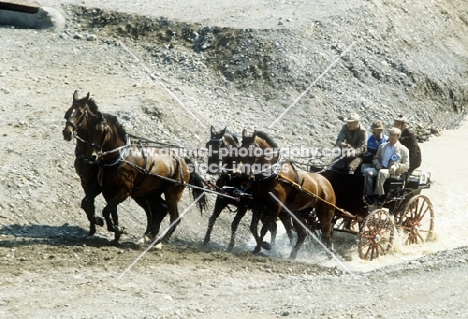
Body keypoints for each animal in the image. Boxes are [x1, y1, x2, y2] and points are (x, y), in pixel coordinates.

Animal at [62, 91, 104, 236]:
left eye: (80, 113)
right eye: (68, 112)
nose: (67, 133)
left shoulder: (98, 184)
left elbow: (86, 202)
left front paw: (98, 221)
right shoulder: (85, 181)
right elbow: (88, 204)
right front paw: (92, 227)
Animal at [86, 112, 207, 245]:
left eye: (102, 131)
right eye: (88, 129)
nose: (92, 156)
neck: (120, 158)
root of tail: (183, 161)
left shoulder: (125, 191)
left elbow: (107, 210)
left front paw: (116, 229)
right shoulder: (106, 190)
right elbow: (107, 210)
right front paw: (115, 230)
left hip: (172, 194)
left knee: (174, 217)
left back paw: (161, 240)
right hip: (151, 193)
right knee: (161, 209)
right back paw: (148, 235)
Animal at [239, 129, 334, 260]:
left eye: (250, 152)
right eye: (239, 149)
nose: (243, 175)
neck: (274, 173)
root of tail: (327, 184)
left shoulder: (276, 206)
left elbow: (266, 227)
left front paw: (264, 246)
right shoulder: (258, 203)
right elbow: (253, 227)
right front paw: (261, 246)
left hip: (325, 214)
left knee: (326, 235)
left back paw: (327, 257)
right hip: (298, 214)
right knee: (303, 234)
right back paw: (292, 256)